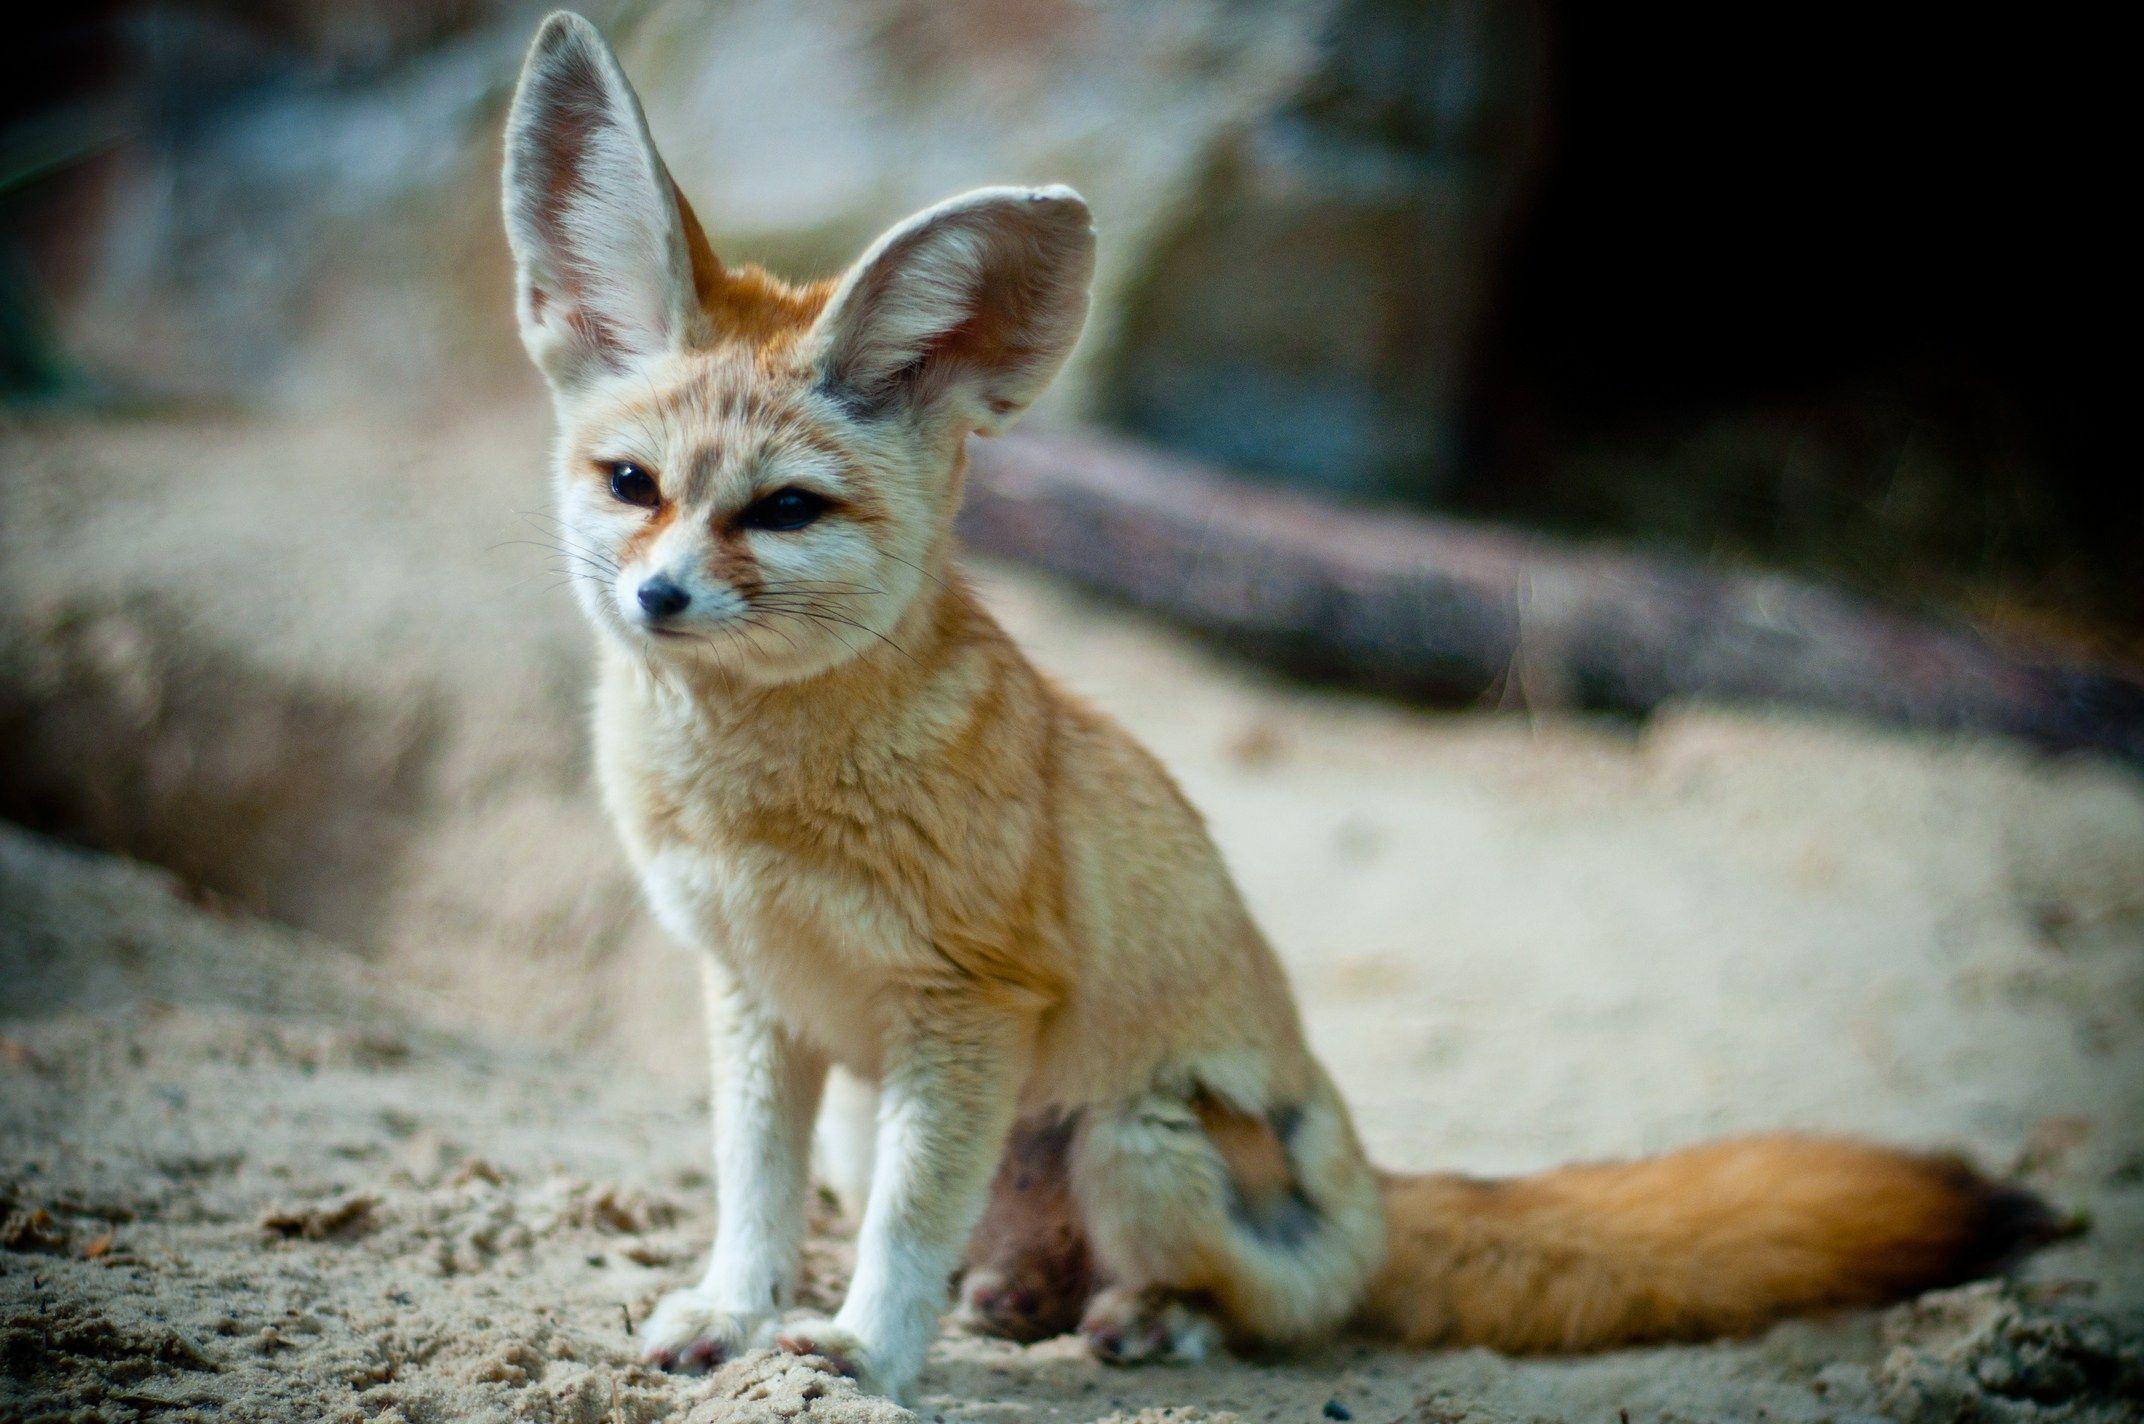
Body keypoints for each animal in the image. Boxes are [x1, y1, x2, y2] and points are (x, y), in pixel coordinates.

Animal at [501, 11, 2058, 1403]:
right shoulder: (760, 1000)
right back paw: (1016, 1296)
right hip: (923, 1120)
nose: (658, 600)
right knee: (1032, 1271)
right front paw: (731, 1314)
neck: (756, 805)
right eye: (634, 486)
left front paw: (867, 1354)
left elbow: (901, 1229)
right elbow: (751, 1198)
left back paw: (1153, 1321)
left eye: (785, 511)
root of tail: (1377, 1186)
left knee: (1269, 1312)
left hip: (1134, 1139)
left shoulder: (966, 1006)